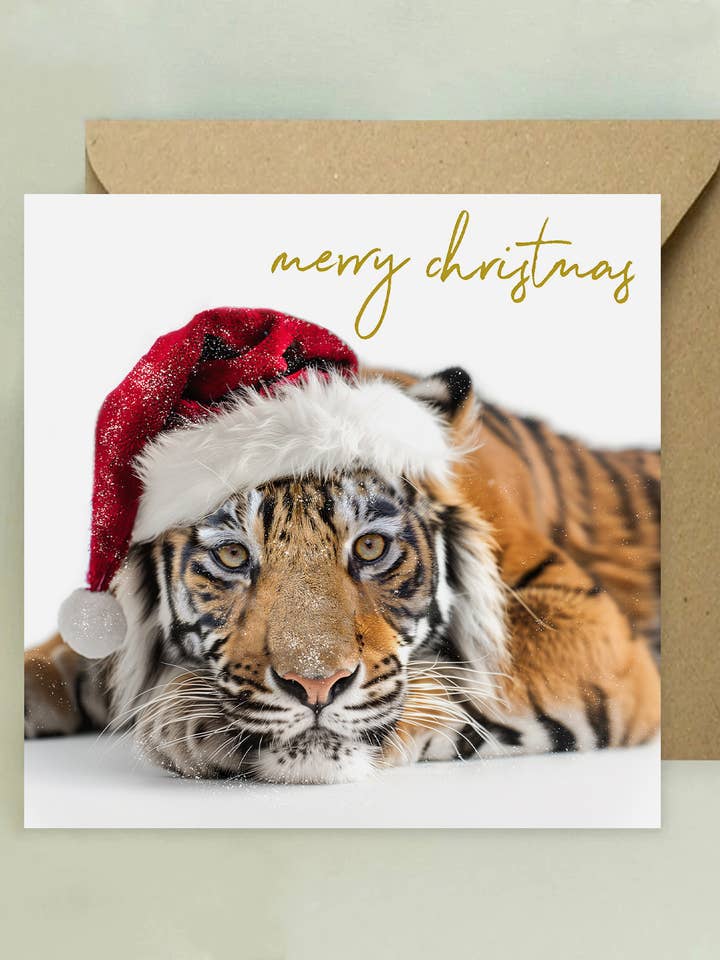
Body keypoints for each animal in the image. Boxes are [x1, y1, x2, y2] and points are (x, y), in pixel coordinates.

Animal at [24, 366, 660, 783]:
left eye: (372, 547)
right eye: (233, 556)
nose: (315, 687)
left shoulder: (580, 613)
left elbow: (463, 676)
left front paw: (183, 718)